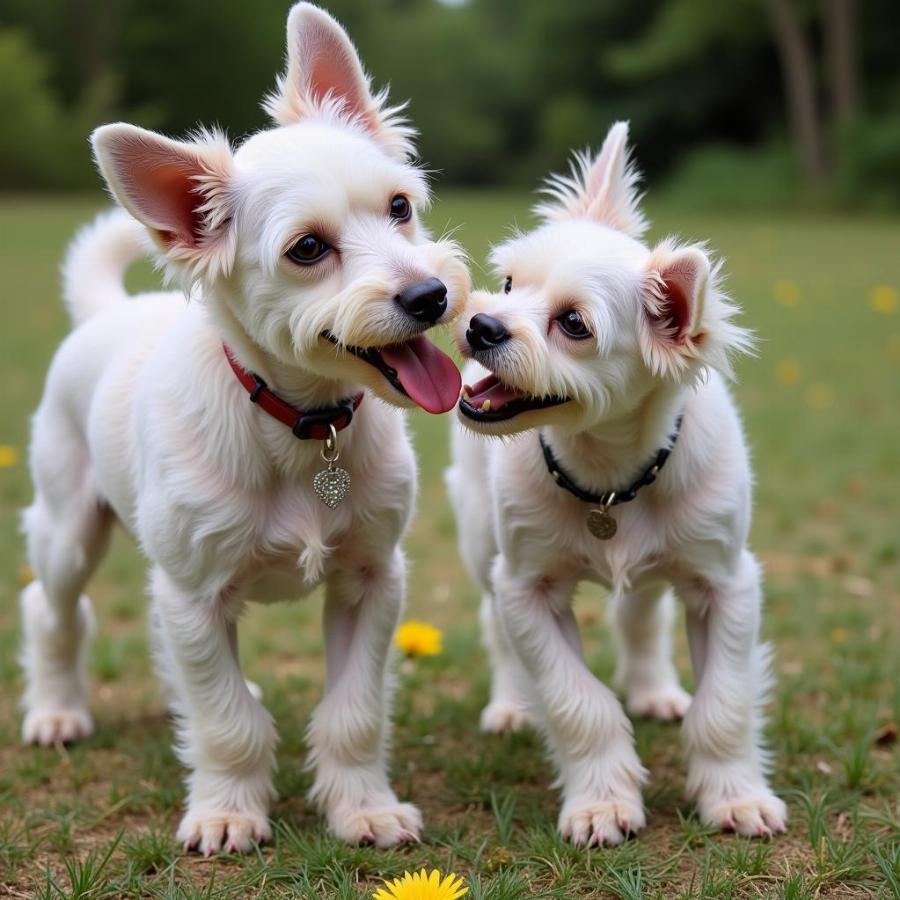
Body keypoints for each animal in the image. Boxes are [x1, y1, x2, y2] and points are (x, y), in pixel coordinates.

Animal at [22, 3, 472, 856]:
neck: (302, 424)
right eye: (308, 249)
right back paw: (57, 710)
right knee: (53, 610)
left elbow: (353, 712)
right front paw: (228, 809)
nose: (431, 296)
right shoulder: (194, 598)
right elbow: (224, 719)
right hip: (70, 534)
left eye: (400, 206)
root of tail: (106, 311)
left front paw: (362, 806)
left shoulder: (372, 580)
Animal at [450, 123, 788, 848]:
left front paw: (736, 795)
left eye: (574, 324)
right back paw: (511, 704)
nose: (479, 323)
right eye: (509, 282)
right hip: (481, 541)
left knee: (640, 612)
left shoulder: (727, 584)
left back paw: (654, 687)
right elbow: (578, 703)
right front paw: (602, 801)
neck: (605, 475)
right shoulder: (527, 590)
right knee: (496, 625)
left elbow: (724, 704)